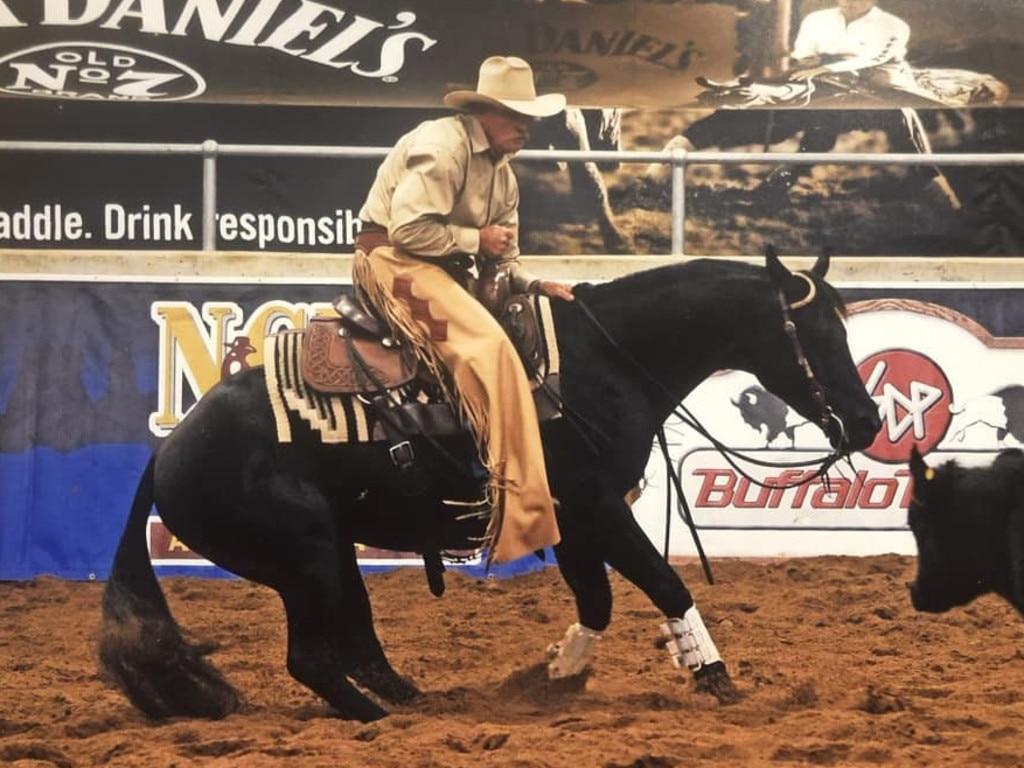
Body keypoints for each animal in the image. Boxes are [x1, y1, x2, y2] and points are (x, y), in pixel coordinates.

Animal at [97, 249, 880, 724]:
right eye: (818, 334)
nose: (870, 420)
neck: (598, 362)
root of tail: (167, 453)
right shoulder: (594, 507)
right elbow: (664, 584)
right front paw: (714, 674)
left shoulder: (575, 521)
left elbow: (597, 601)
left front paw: (553, 677)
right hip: (305, 557)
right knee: (312, 658)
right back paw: (378, 719)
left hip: (330, 556)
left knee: (356, 641)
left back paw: (408, 698)